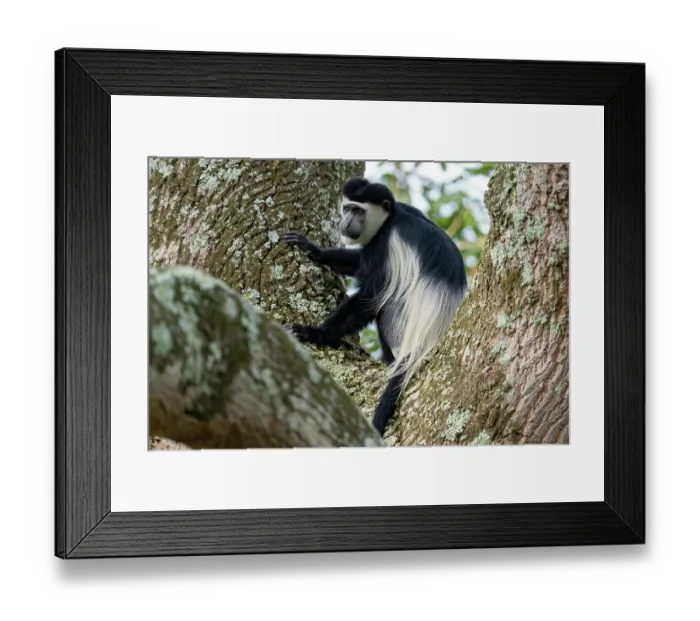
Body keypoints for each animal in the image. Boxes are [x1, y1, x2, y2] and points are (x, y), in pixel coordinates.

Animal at [282, 176, 468, 435]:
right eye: (348, 208)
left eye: (359, 211)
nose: (346, 222)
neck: (390, 218)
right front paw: (314, 249)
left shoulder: (385, 246)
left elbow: (370, 297)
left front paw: (313, 333)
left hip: (399, 328)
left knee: (385, 307)